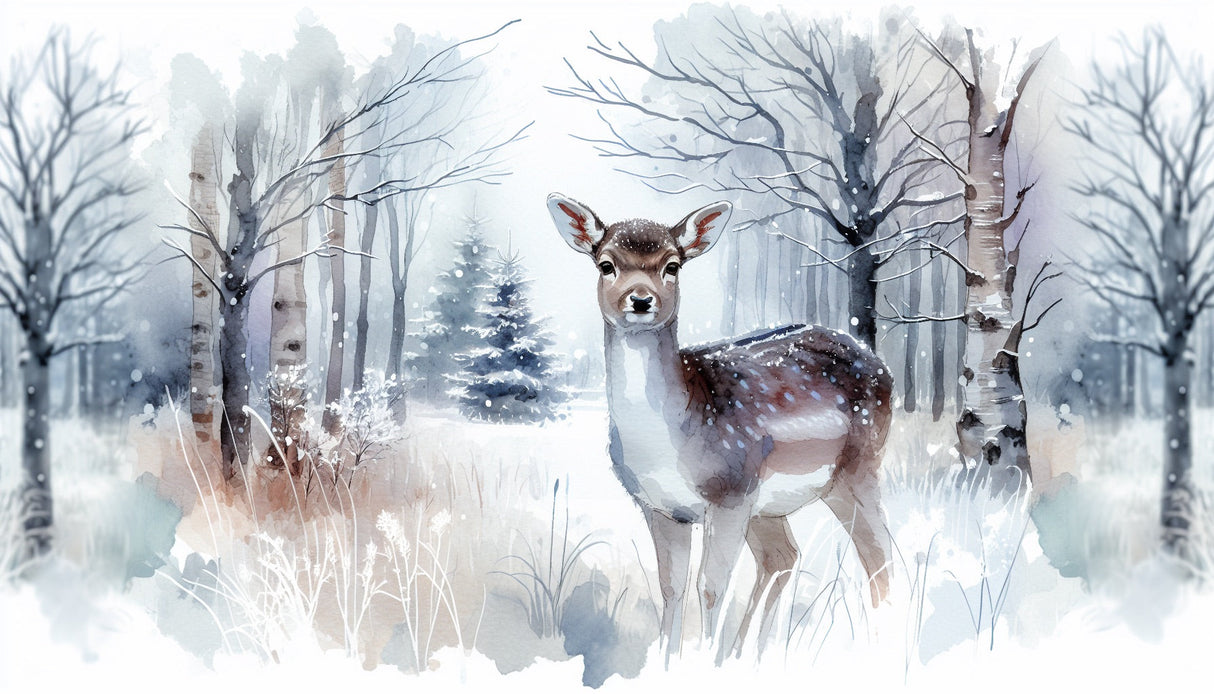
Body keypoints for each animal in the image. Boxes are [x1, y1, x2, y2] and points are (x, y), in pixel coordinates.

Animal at [546, 193, 893, 663]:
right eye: (606, 264)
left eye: (673, 265)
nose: (641, 300)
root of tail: (882, 365)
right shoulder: (658, 506)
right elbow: (671, 588)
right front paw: (669, 662)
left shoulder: (729, 492)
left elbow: (710, 587)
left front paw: (704, 663)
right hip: (770, 504)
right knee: (784, 556)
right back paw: (750, 655)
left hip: (855, 469)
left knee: (880, 556)